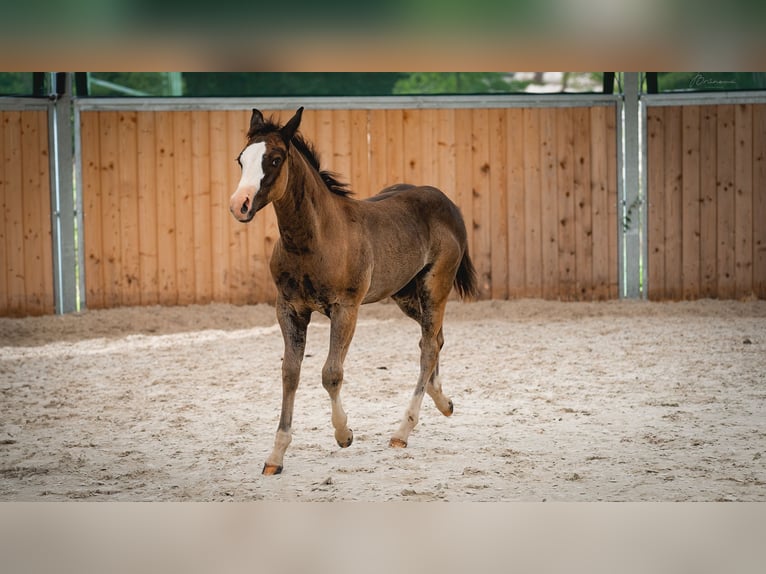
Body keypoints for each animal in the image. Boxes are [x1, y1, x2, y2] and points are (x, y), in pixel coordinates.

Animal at [231, 108, 476, 476]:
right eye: (240, 160)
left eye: (275, 159)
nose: (240, 205)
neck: (316, 240)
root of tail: (448, 204)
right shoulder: (289, 309)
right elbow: (290, 373)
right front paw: (276, 456)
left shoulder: (346, 308)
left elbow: (331, 374)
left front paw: (343, 434)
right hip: (405, 294)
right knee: (433, 339)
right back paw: (443, 402)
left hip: (435, 286)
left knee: (429, 346)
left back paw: (402, 431)